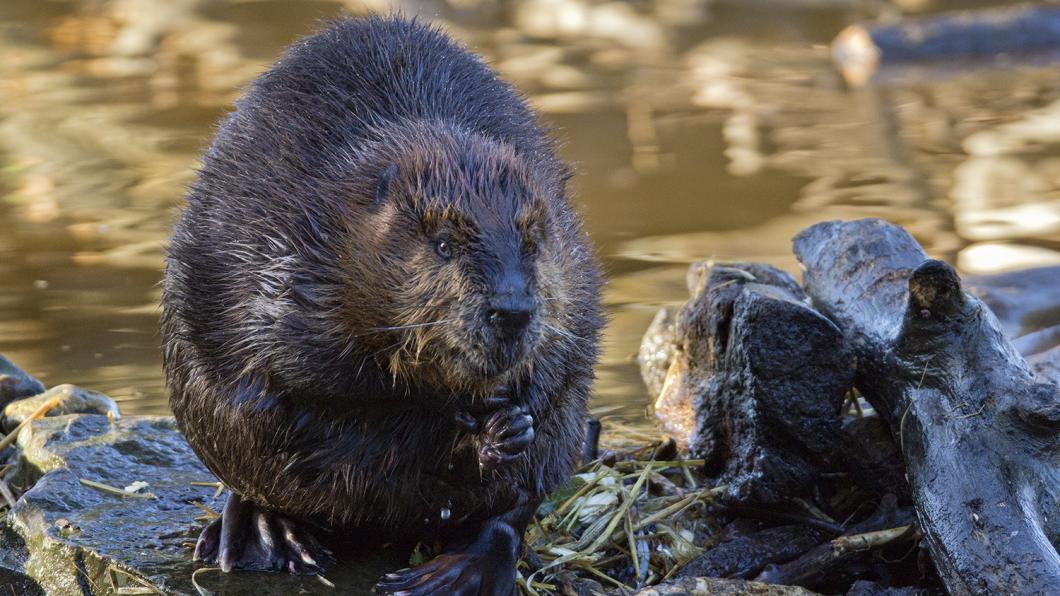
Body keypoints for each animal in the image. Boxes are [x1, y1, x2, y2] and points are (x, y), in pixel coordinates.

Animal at [160, 13, 602, 593]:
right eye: (443, 244)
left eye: (531, 243)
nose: (511, 310)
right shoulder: (273, 271)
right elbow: (313, 409)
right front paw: (473, 431)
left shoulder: (573, 270)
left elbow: (562, 362)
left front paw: (512, 424)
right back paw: (261, 536)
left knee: (512, 513)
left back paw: (454, 572)